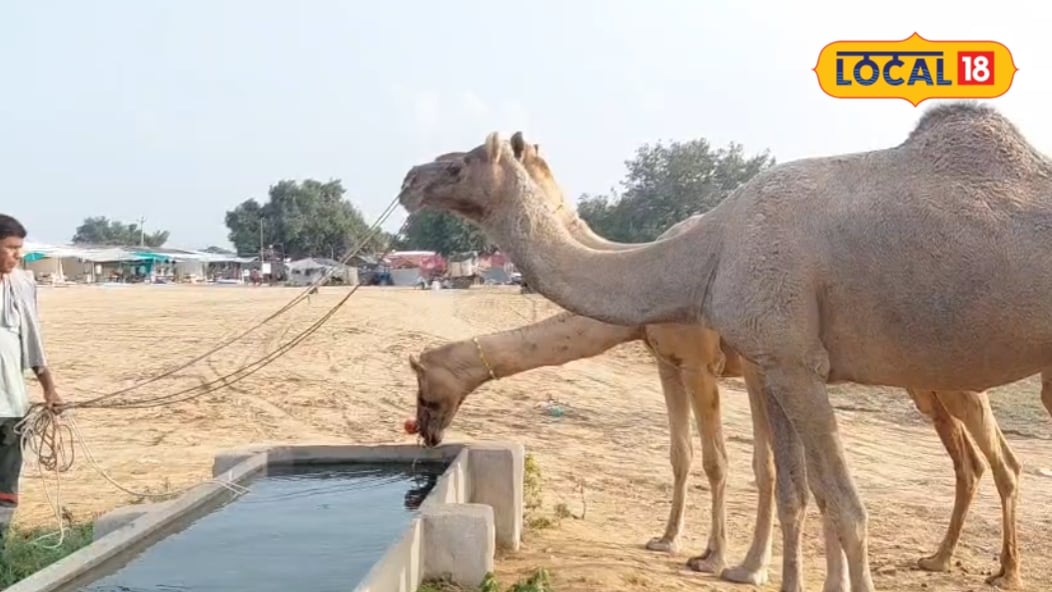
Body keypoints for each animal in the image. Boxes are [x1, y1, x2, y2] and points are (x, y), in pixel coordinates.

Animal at [397, 102, 1052, 592]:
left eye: (456, 165)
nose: (408, 180)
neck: (705, 254)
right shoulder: (774, 363)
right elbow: (796, 491)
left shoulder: (783, 362)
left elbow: (842, 505)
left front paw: (722, 561)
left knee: (995, 462)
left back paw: (996, 569)